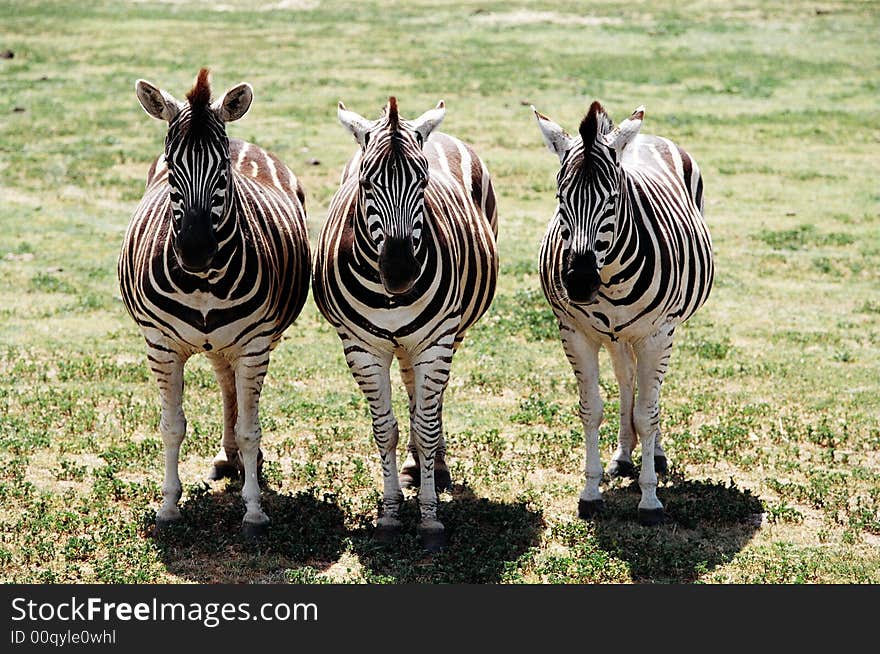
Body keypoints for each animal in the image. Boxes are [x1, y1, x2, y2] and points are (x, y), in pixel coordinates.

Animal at [117, 69, 310, 536]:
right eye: (171, 166)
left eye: (222, 167)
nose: (196, 250)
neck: (204, 282)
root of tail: (242, 139)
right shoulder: (161, 347)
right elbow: (172, 427)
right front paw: (169, 506)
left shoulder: (255, 346)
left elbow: (250, 429)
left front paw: (254, 510)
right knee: (225, 384)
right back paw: (227, 457)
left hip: (249, 342)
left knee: (235, 395)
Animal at [312, 95, 498, 552]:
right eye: (366, 183)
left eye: (423, 182)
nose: (399, 273)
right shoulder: (362, 348)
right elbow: (386, 430)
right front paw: (390, 514)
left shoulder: (436, 342)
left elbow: (426, 426)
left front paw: (430, 519)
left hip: (448, 335)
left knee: (431, 402)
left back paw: (434, 466)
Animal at [528, 100, 716, 524]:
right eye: (560, 200)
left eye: (612, 199)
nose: (580, 283)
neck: (610, 276)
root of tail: (644, 137)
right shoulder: (575, 333)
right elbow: (591, 410)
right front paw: (590, 492)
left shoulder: (656, 335)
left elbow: (648, 413)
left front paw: (649, 499)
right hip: (615, 336)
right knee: (627, 379)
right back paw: (624, 454)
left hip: (661, 332)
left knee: (652, 393)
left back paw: (654, 454)